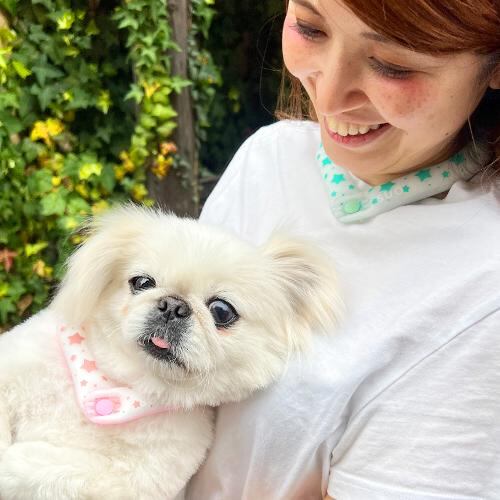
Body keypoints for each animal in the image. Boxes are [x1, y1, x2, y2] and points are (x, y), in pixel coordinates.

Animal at [0, 205, 342, 499]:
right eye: (142, 282)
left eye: (221, 311)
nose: (173, 306)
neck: (118, 383)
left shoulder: (132, 477)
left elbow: (47, 468)